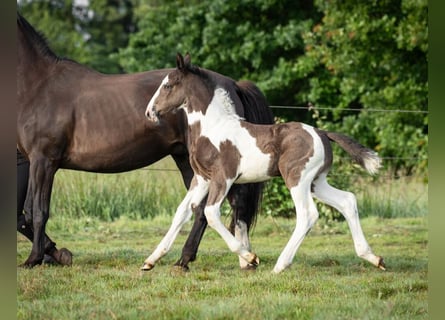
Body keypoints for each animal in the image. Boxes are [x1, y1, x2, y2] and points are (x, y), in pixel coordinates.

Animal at [16, 12, 274, 268]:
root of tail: (233, 84)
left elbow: (38, 212)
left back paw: (240, 258)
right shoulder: (31, 162)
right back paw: (186, 259)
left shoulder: (44, 161)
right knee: (202, 208)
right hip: (188, 160)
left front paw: (34, 258)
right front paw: (57, 254)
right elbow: (25, 213)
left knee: (231, 204)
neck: (39, 86)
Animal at [143, 53, 386, 274]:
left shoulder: (223, 178)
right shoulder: (202, 178)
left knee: (307, 214)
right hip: (316, 182)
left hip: (297, 179)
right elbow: (182, 211)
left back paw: (280, 265)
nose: (149, 112)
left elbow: (211, 213)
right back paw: (373, 258)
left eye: (168, 85)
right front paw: (150, 260)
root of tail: (322, 133)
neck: (214, 128)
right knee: (347, 201)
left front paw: (250, 257)